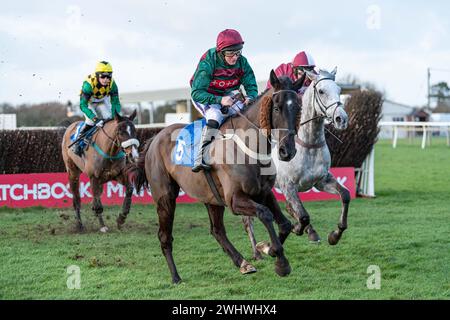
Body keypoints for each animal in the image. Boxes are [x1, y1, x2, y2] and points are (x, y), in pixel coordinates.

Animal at [125, 71, 304, 284]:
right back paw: (175, 276)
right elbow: (265, 214)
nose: (287, 150)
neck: (248, 147)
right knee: (165, 236)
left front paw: (269, 249)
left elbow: (284, 224)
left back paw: (243, 263)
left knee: (217, 231)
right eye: (277, 108)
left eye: (299, 108)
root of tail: (155, 138)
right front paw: (279, 260)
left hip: (211, 198)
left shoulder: (263, 192)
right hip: (165, 198)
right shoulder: (235, 200)